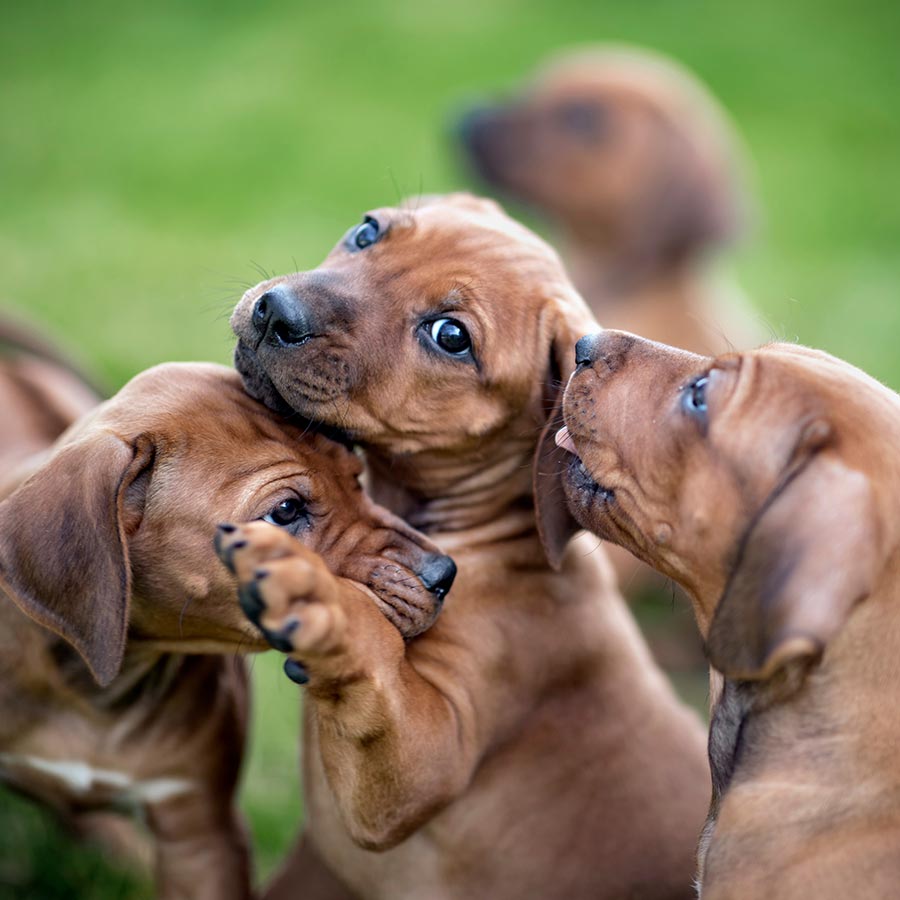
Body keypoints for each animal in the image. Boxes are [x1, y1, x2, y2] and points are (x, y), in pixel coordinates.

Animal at [229, 193, 708, 896]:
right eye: (367, 232)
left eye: (450, 336)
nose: (275, 311)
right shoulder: (320, 863)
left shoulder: (419, 767)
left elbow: (374, 659)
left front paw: (320, 599)